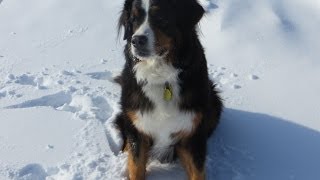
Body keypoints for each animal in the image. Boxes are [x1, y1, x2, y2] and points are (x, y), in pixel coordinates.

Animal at [115, 0, 222, 179]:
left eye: (160, 17)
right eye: (134, 19)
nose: (136, 40)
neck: (162, 78)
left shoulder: (193, 132)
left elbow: (197, 171)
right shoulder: (138, 129)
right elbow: (136, 166)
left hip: (214, 102)